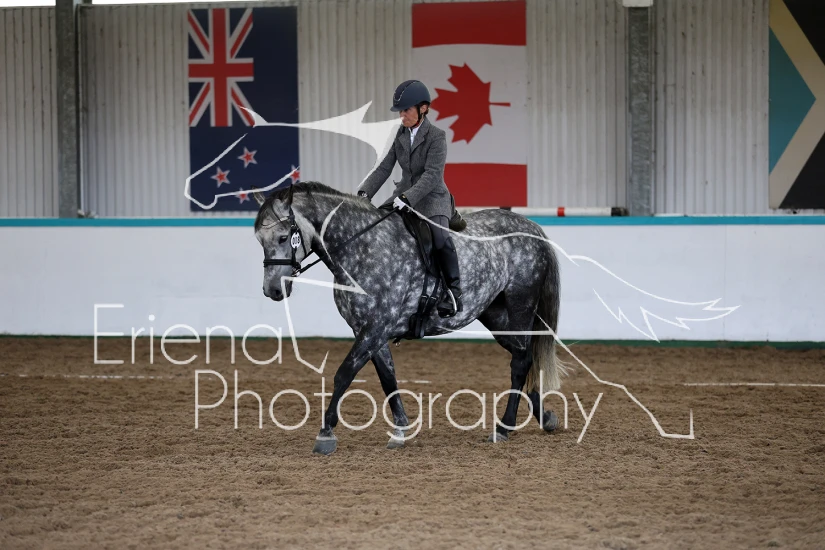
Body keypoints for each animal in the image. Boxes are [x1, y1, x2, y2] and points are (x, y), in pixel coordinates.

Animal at [252, 182, 566, 454]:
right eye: (259, 240)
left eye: (283, 237)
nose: (272, 290)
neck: (364, 248)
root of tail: (530, 227)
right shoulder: (369, 331)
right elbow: (388, 379)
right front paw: (401, 430)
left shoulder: (375, 328)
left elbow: (344, 374)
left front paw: (326, 433)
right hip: (496, 315)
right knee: (524, 356)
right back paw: (545, 418)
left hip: (520, 305)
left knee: (521, 360)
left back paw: (503, 427)